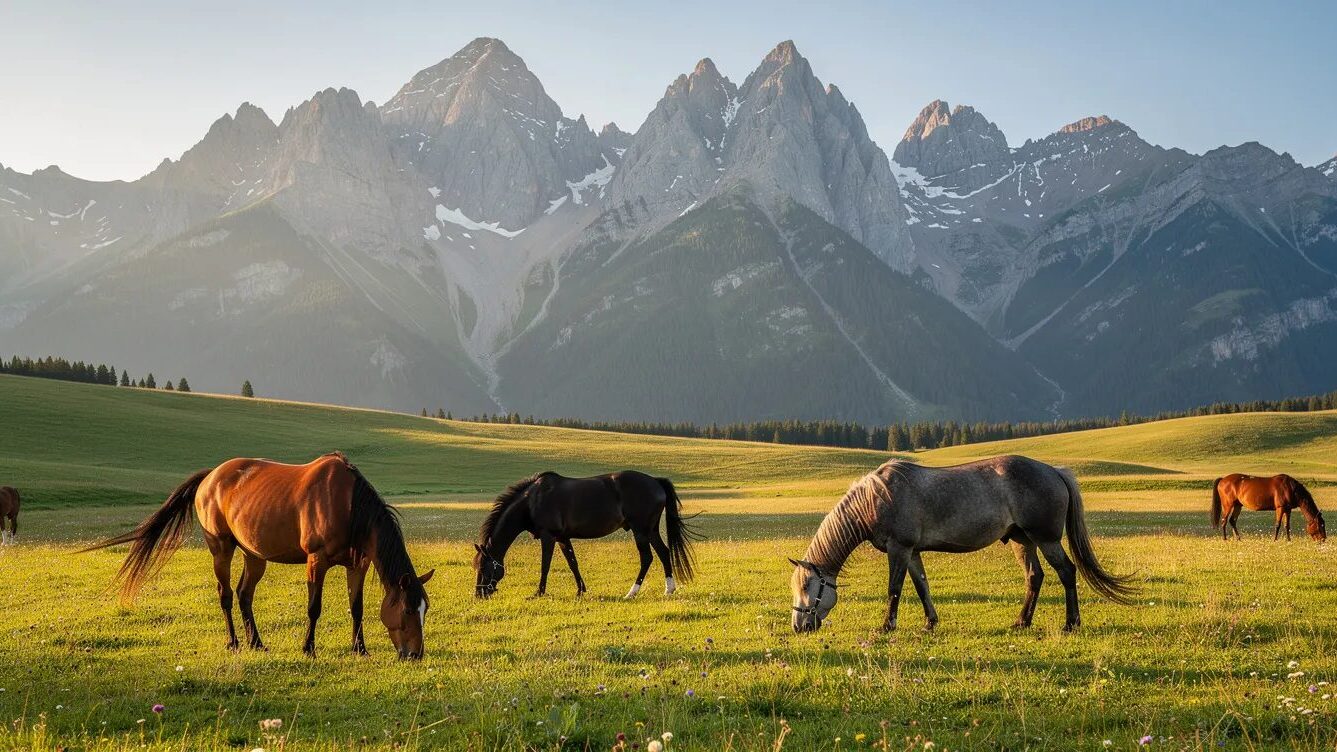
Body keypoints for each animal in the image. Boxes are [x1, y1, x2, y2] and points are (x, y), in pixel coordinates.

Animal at [82, 452, 434, 659]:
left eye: (424, 610)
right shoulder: (316, 561)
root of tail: (210, 476)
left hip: (254, 555)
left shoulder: (357, 563)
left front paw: (359, 649)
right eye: (406, 610)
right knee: (225, 594)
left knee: (244, 594)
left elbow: (357, 608)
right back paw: (236, 642)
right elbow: (314, 608)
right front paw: (308, 648)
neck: (349, 506)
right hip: (221, 547)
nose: (415, 654)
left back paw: (257, 642)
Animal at [474, 471, 699, 599]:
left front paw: (539, 592)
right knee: (664, 553)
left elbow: (545, 565)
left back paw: (631, 593)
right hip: (650, 530)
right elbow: (573, 563)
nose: (479, 593)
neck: (532, 501)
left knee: (647, 558)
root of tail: (655, 482)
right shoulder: (562, 538)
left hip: (640, 531)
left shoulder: (548, 536)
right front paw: (580, 590)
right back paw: (669, 589)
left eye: (485, 568)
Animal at [789, 456, 1136, 633]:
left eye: (808, 587)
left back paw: (1070, 623)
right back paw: (1022, 621)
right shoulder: (912, 552)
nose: (798, 626)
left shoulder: (899, 549)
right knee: (1034, 577)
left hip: (1046, 539)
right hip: (1023, 541)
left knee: (1067, 572)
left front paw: (887, 626)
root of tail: (1055, 471)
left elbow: (894, 589)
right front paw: (930, 623)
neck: (877, 498)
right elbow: (922, 586)